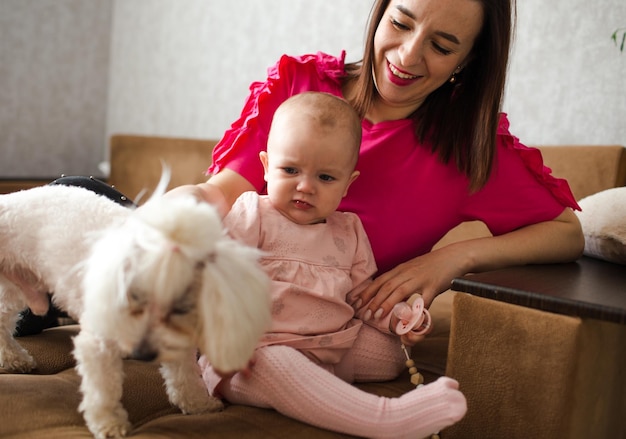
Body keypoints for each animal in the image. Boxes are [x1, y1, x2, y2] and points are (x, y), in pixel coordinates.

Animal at [1, 180, 272, 439]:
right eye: (133, 296)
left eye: (180, 307)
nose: (142, 354)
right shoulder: (97, 344)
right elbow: (103, 389)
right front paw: (109, 423)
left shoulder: (178, 338)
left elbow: (184, 375)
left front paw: (198, 404)